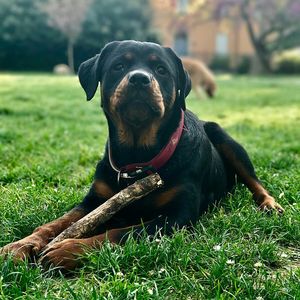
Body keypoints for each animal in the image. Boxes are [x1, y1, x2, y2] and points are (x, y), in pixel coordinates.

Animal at [0, 40, 284, 270]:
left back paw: (270, 204)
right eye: (118, 66)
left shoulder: (176, 218)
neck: (137, 158)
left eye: (161, 69)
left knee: (255, 182)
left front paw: (68, 249)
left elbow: (121, 232)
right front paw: (21, 245)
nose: (139, 78)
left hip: (226, 139)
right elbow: (58, 222)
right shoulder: (95, 200)